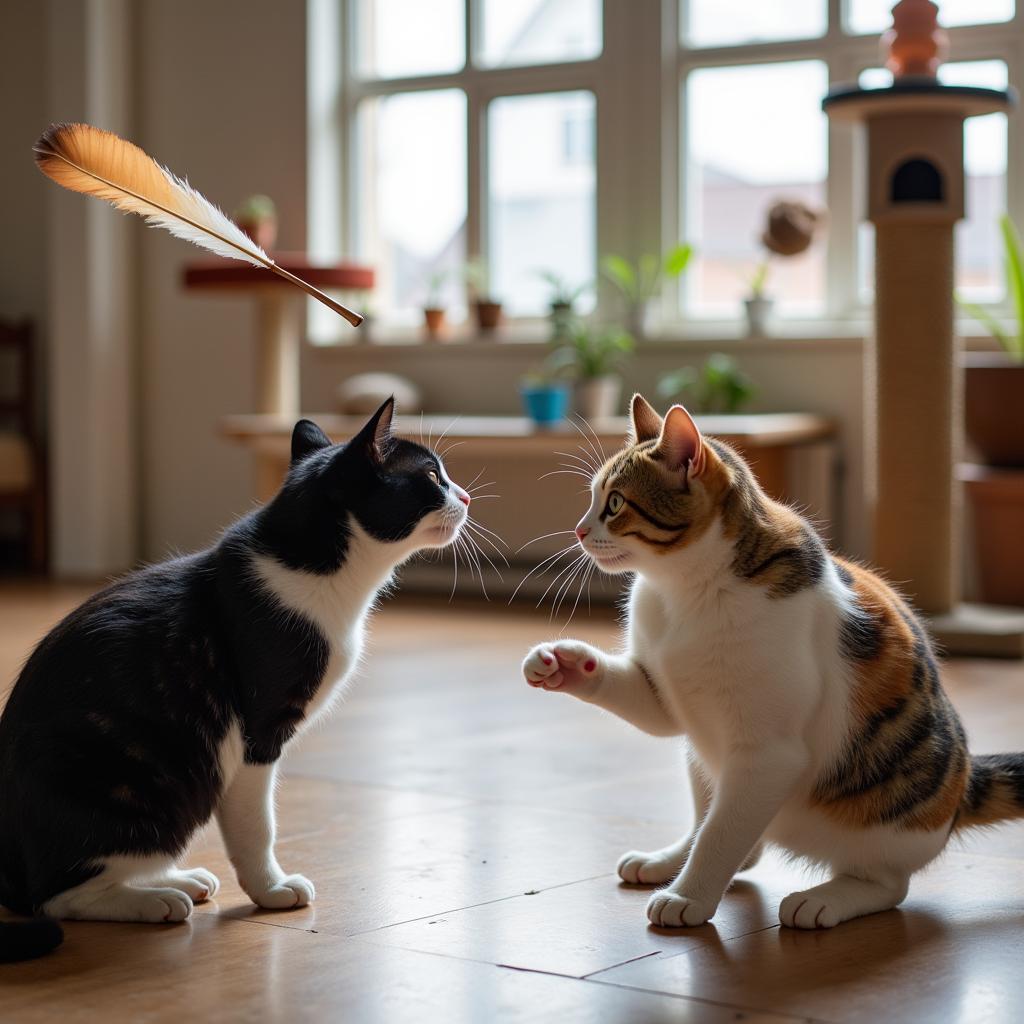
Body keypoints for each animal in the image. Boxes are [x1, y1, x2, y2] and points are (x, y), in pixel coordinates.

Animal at [0, 397, 471, 958]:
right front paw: (271, 890)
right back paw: (153, 900)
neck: (320, 572)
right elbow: (256, 825)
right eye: (432, 477)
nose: (466, 496)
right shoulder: (258, 732)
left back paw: (176, 880)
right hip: (142, 793)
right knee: (54, 895)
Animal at [524, 395, 1019, 933]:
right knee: (732, 833)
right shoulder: (668, 699)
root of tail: (964, 785)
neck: (681, 594)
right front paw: (561, 663)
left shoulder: (768, 753)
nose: (578, 530)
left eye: (614, 503)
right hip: (700, 756)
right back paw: (666, 860)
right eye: (593, 498)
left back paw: (823, 899)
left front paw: (688, 897)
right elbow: (662, 730)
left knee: (885, 882)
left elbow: (720, 836)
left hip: (878, 823)